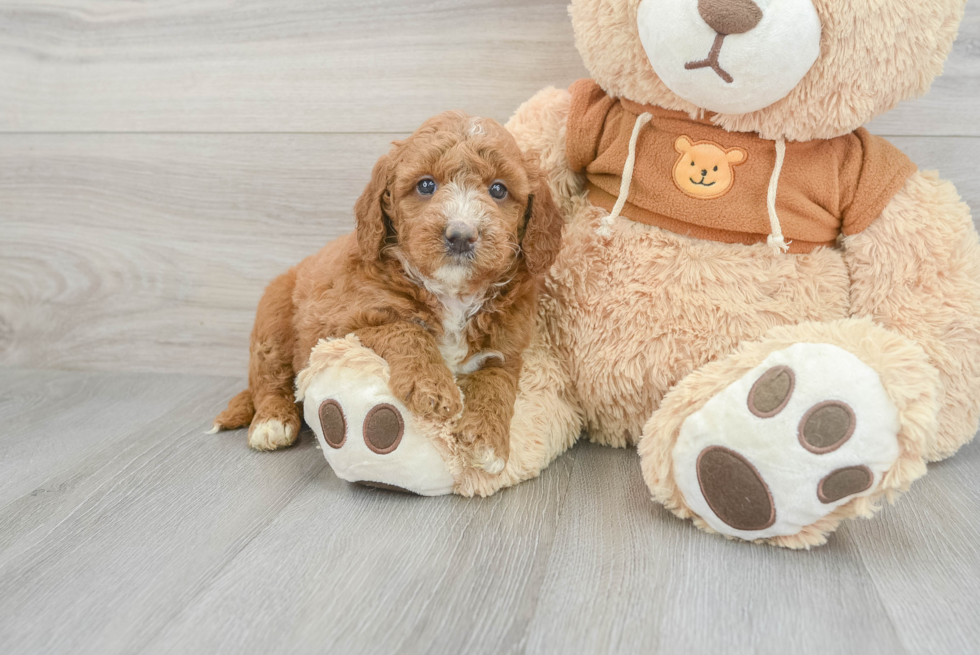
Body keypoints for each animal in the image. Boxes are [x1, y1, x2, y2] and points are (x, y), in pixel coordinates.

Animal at [212, 111, 568, 472]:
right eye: (426, 185)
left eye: (498, 190)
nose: (461, 235)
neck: (451, 294)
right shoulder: (340, 325)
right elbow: (406, 329)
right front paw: (433, 387)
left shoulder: (506, 348)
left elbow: (497, 383)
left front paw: (487, 441)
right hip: (273, 321)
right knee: (270, 379)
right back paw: (271, 422)